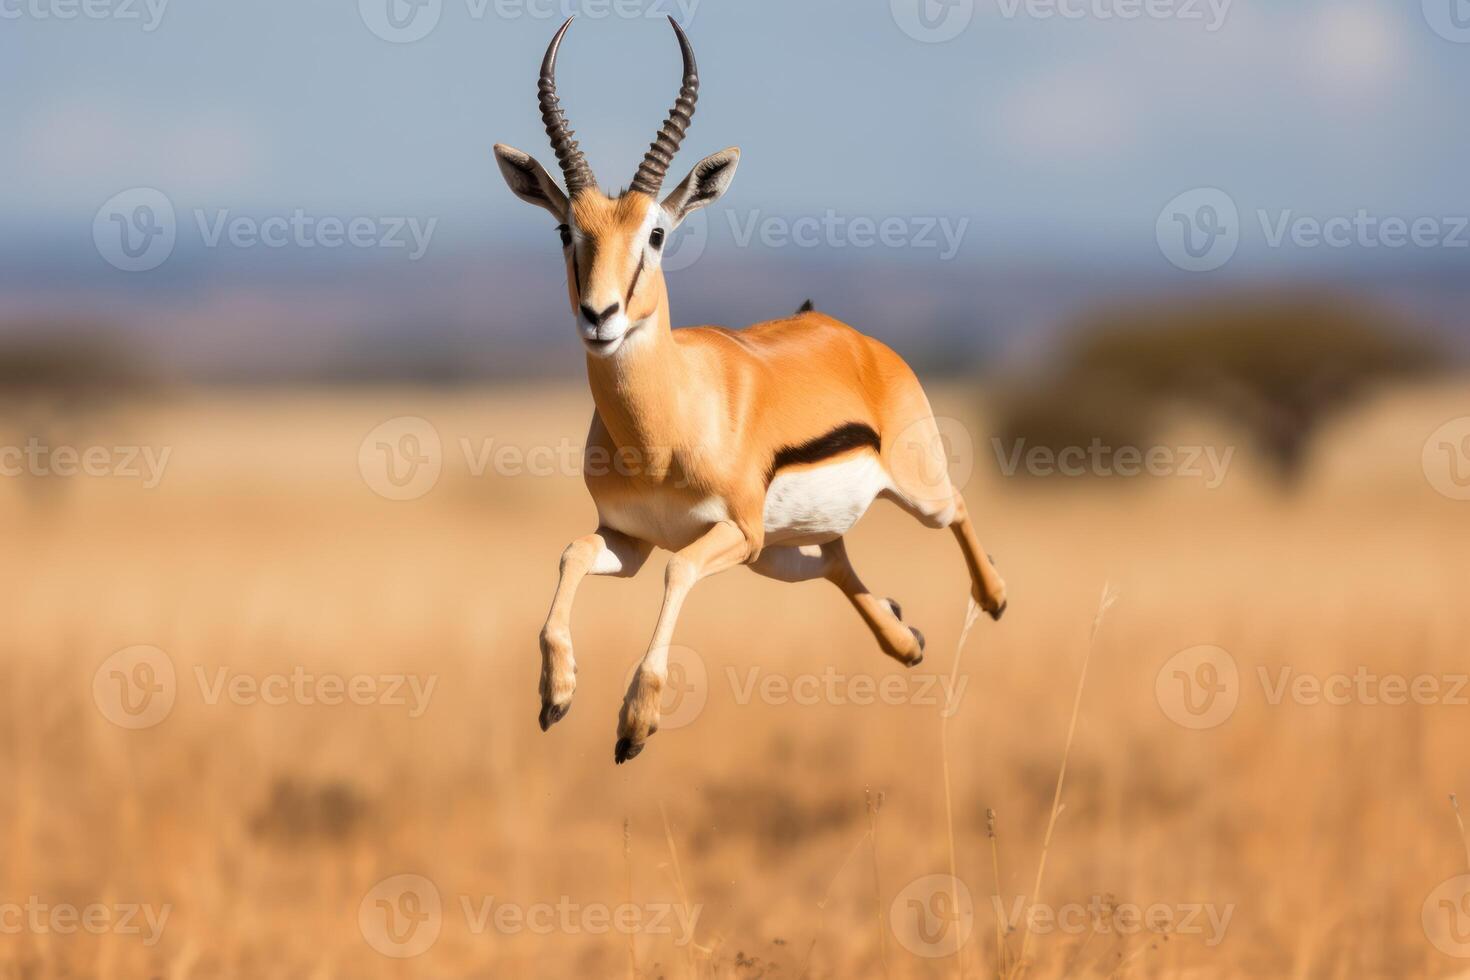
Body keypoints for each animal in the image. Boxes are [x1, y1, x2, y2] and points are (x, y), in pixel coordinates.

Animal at [493, 17, 1011, 764]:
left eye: (656, 232)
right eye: (567, 230)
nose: (599, 316)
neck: (665, 427)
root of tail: (848, 335)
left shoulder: (730, 530)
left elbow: (677, 573)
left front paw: (635, 724)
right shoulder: (628, 538)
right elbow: (572, 553)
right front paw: (556, 694)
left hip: (907, 495)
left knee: (957, 508)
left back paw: (993, 599)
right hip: (779, 554)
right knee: (836, 560)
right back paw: (906, 640)